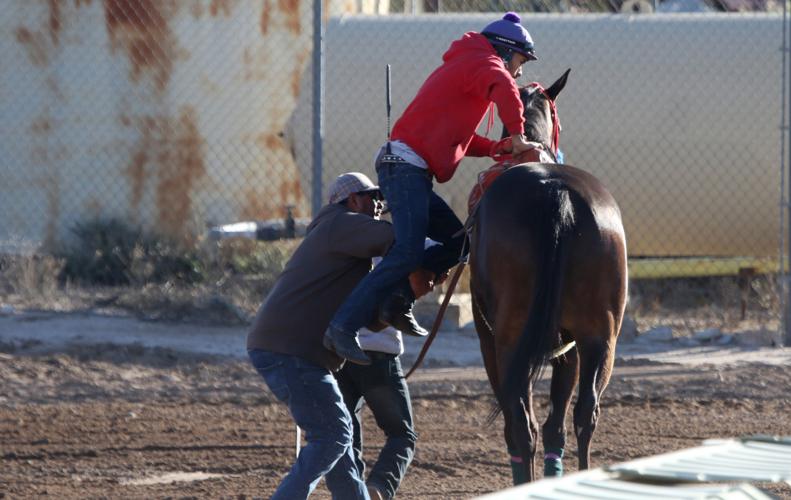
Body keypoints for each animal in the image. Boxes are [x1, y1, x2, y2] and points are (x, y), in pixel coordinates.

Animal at [468, 69, 628, 484]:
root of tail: (556, 193)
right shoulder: (569, 345)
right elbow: (559, 419)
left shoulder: (489, 339)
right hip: (600, 336)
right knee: (585, 414)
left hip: (510, 340)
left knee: (522, 426)